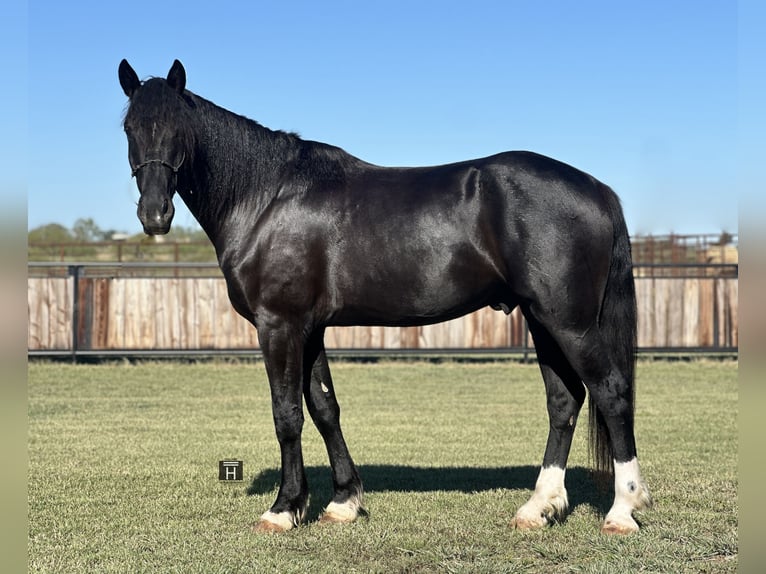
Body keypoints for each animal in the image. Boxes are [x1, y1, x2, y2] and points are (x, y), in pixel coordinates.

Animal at [120, 58, 656, 536]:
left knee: (611, 393)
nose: (154, 214)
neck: (267, 198)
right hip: (544, 321)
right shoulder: (310, 328)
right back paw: (538, 507)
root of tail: (597, 188)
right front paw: (343, 502)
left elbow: (287, 413)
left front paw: (284, 508)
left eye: (178, 129)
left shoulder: (279, 324)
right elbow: (324, 408)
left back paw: (622, 511)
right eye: (129, 127)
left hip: (570, 322)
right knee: (564, 401)